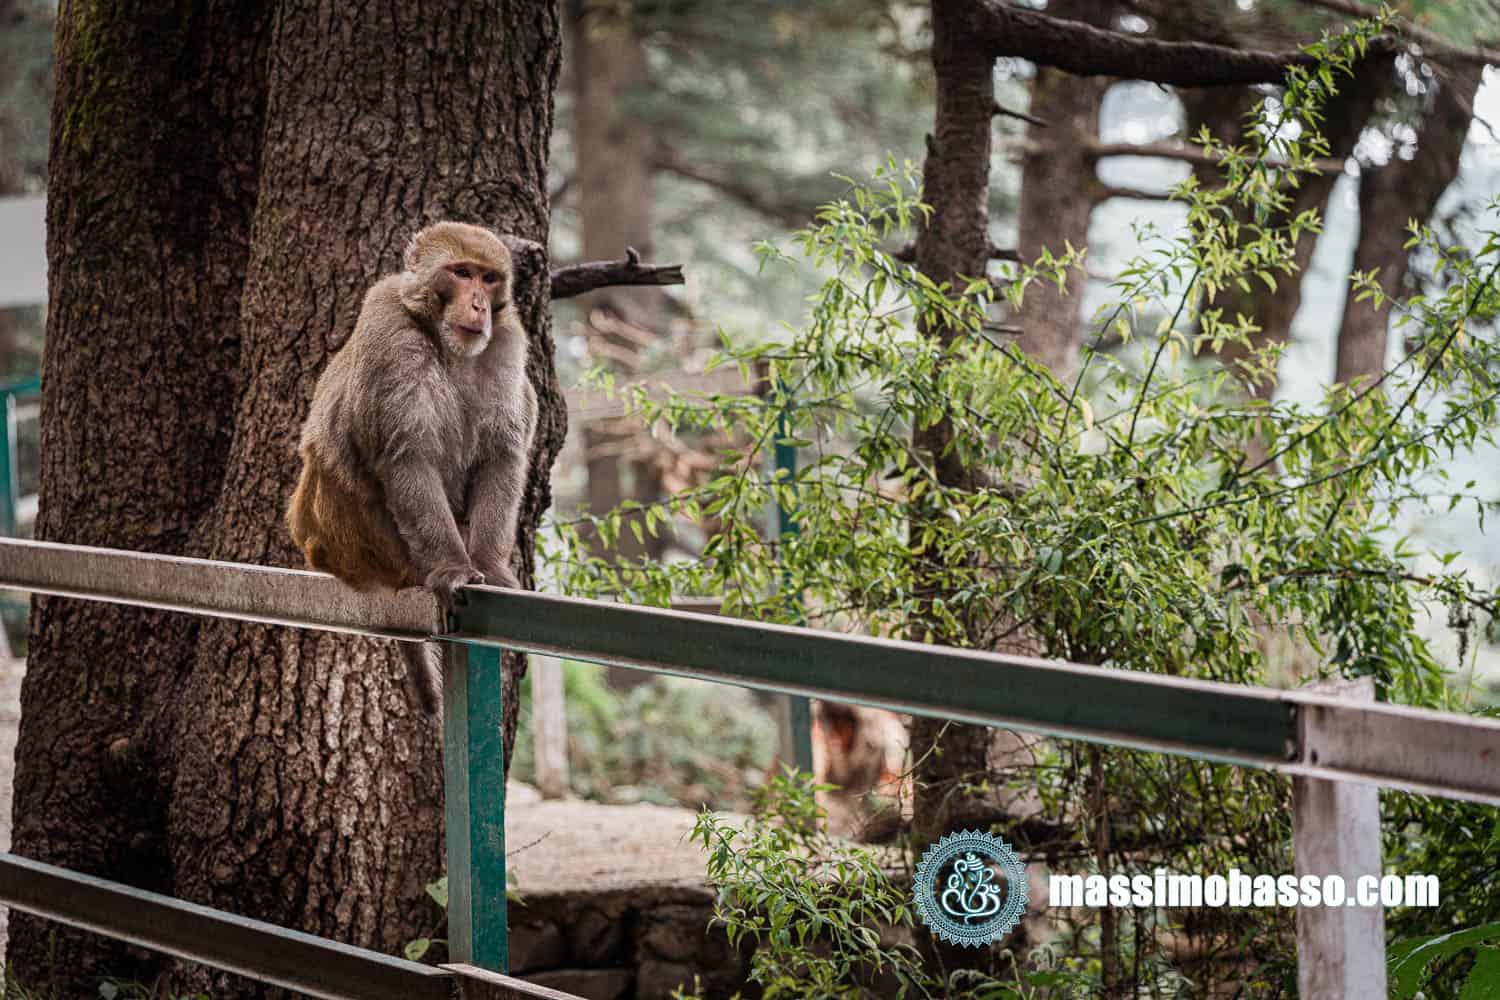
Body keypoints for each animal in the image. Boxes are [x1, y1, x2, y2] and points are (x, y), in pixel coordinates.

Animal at [286, 221, 538, 716]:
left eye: (488, 279)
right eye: (461, 273)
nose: (479, 304)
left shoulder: (506, 339)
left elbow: (502, 452)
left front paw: (489, 564)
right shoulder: (390, 326)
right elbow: (407, 454)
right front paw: (453, 567)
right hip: (347, 536)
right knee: (340, 439)